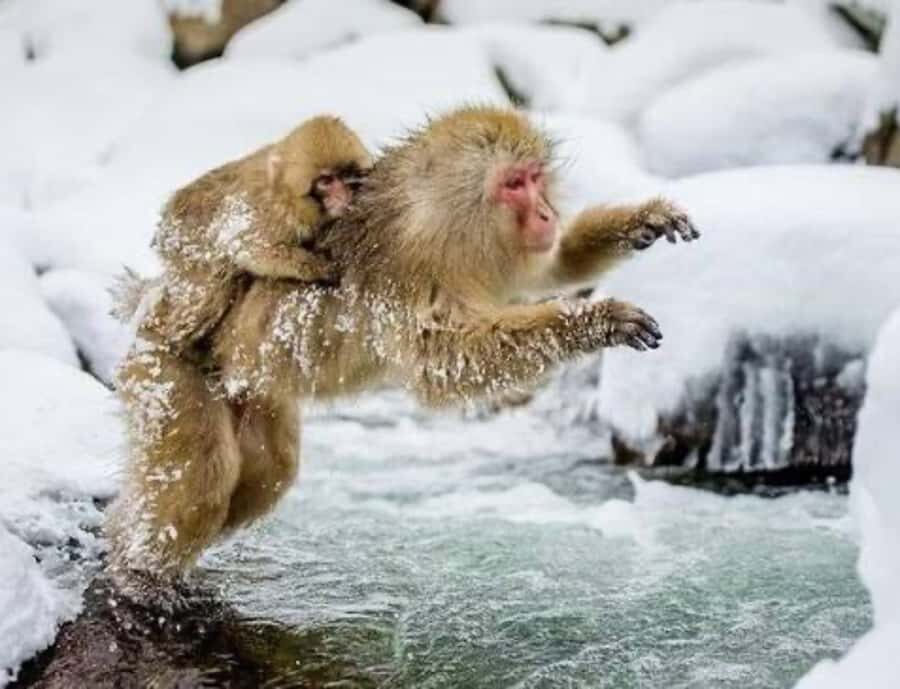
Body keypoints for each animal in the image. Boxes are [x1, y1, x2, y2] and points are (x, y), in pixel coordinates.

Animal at [106, 105, 698, 600]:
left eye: (535, 177)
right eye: (513, 185)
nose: (547, 212)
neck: (444, 221)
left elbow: (550, 268)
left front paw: (641, 221)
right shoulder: (417, 271)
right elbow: (446, 360)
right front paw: (599, 321)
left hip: (248, 391)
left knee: (265, 474)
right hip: (163, 374)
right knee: (203, 479)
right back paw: (136, 575)